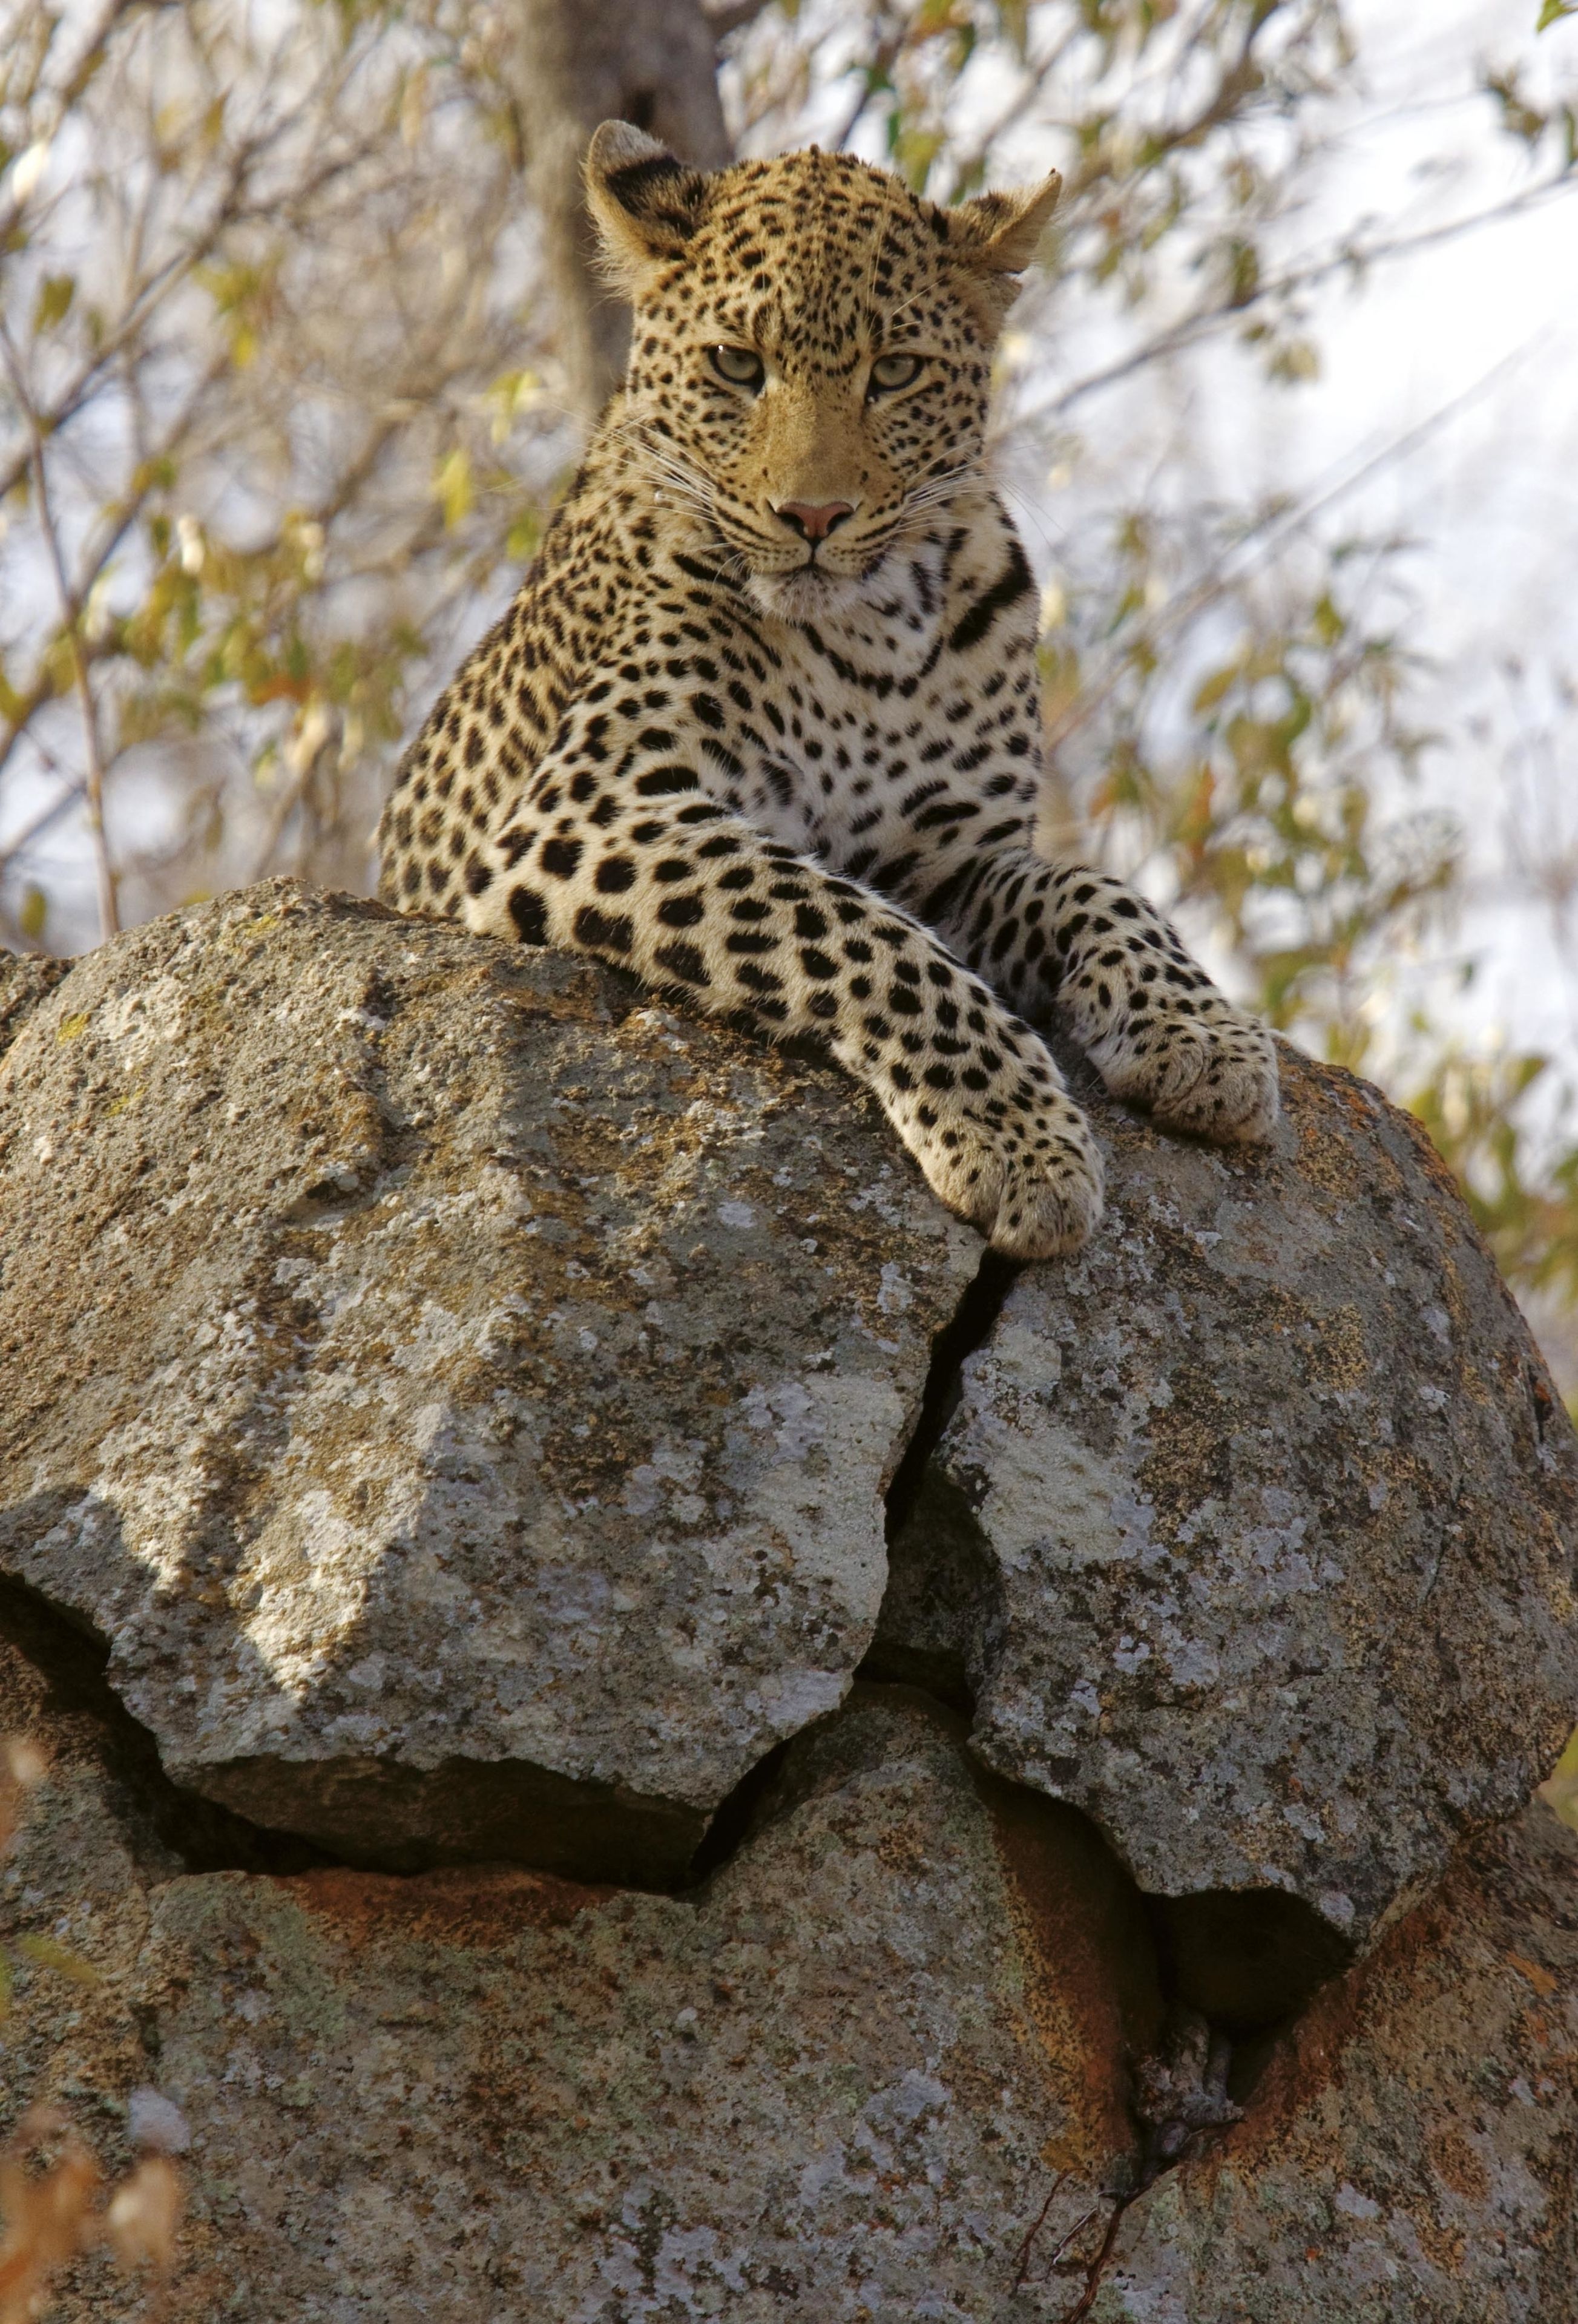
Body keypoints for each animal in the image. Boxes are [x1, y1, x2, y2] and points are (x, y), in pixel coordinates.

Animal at [377, 122, 1278, 1258]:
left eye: (894, 373)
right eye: (736, 364)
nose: (812, 516)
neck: (867, 637)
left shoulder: (949, 862)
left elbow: (1099, 889)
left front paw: (1202, 1036)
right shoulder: (594, 807)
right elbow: (856, 935)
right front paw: (1021, 1141)